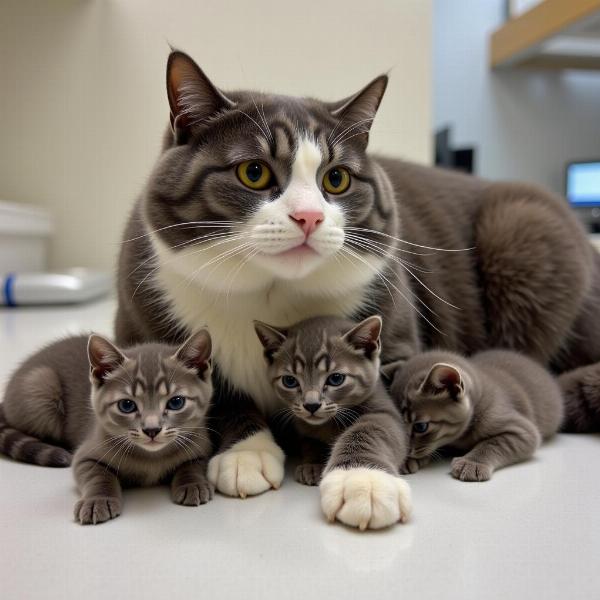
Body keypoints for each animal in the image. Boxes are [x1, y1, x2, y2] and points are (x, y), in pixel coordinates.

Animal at [0, 330, 216, 524]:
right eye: (126, 405)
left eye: (176, 402)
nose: (152, 430)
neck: (151, 458)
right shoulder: (85, 455)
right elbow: (99, 476)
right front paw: (98, 500)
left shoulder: (202, 446)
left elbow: (193, 464)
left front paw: (193, 483)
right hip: (41, 386)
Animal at [251, 314, 410, 528]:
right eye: (289, 381)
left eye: (336, 379)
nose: (311, 405)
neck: (328, 425)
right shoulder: (304, 429)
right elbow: (310, 442)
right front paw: (313, 464)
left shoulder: (385, 411)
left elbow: (370, 429)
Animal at [392, 350, 564, 480]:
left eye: (420, 427)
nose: (406, 452)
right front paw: (407, 459)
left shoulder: (522, 430)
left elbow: (492, 443)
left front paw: (472, 463)